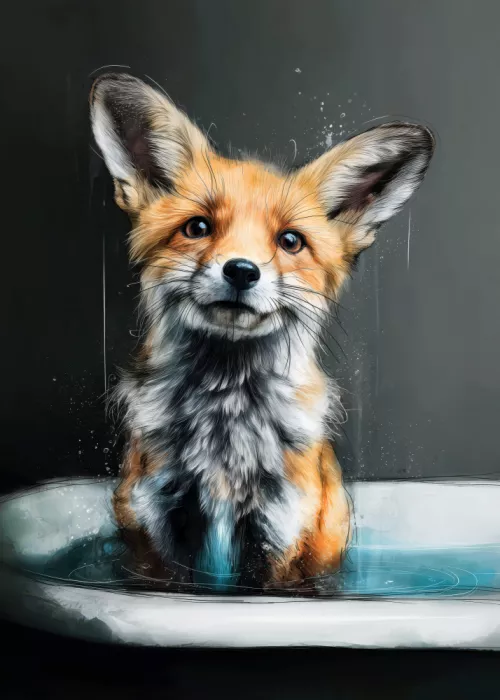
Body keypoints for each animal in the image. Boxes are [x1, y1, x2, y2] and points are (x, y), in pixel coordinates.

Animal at [90, 73, 434, 590]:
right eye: (197, 227)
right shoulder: (155, 533)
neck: (224, 424)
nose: (241, 271)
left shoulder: (278, 536)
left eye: (290, 241)